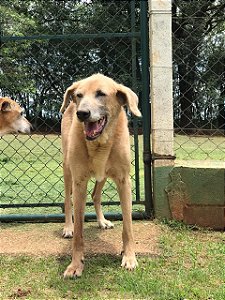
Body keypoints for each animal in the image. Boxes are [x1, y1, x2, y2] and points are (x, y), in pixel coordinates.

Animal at [59, 74, 141, 278]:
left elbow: (128, 226)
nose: (82, 113)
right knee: (67, 200)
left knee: (96, 195)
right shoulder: (79, 181)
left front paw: (129, 256)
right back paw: (68, 227)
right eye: (79, 95)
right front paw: (75, 264)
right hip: (67, 169)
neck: (100, 143)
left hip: (102, 175)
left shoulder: (124, 181)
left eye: (101, 94)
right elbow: (79, 232)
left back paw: (102, 221)